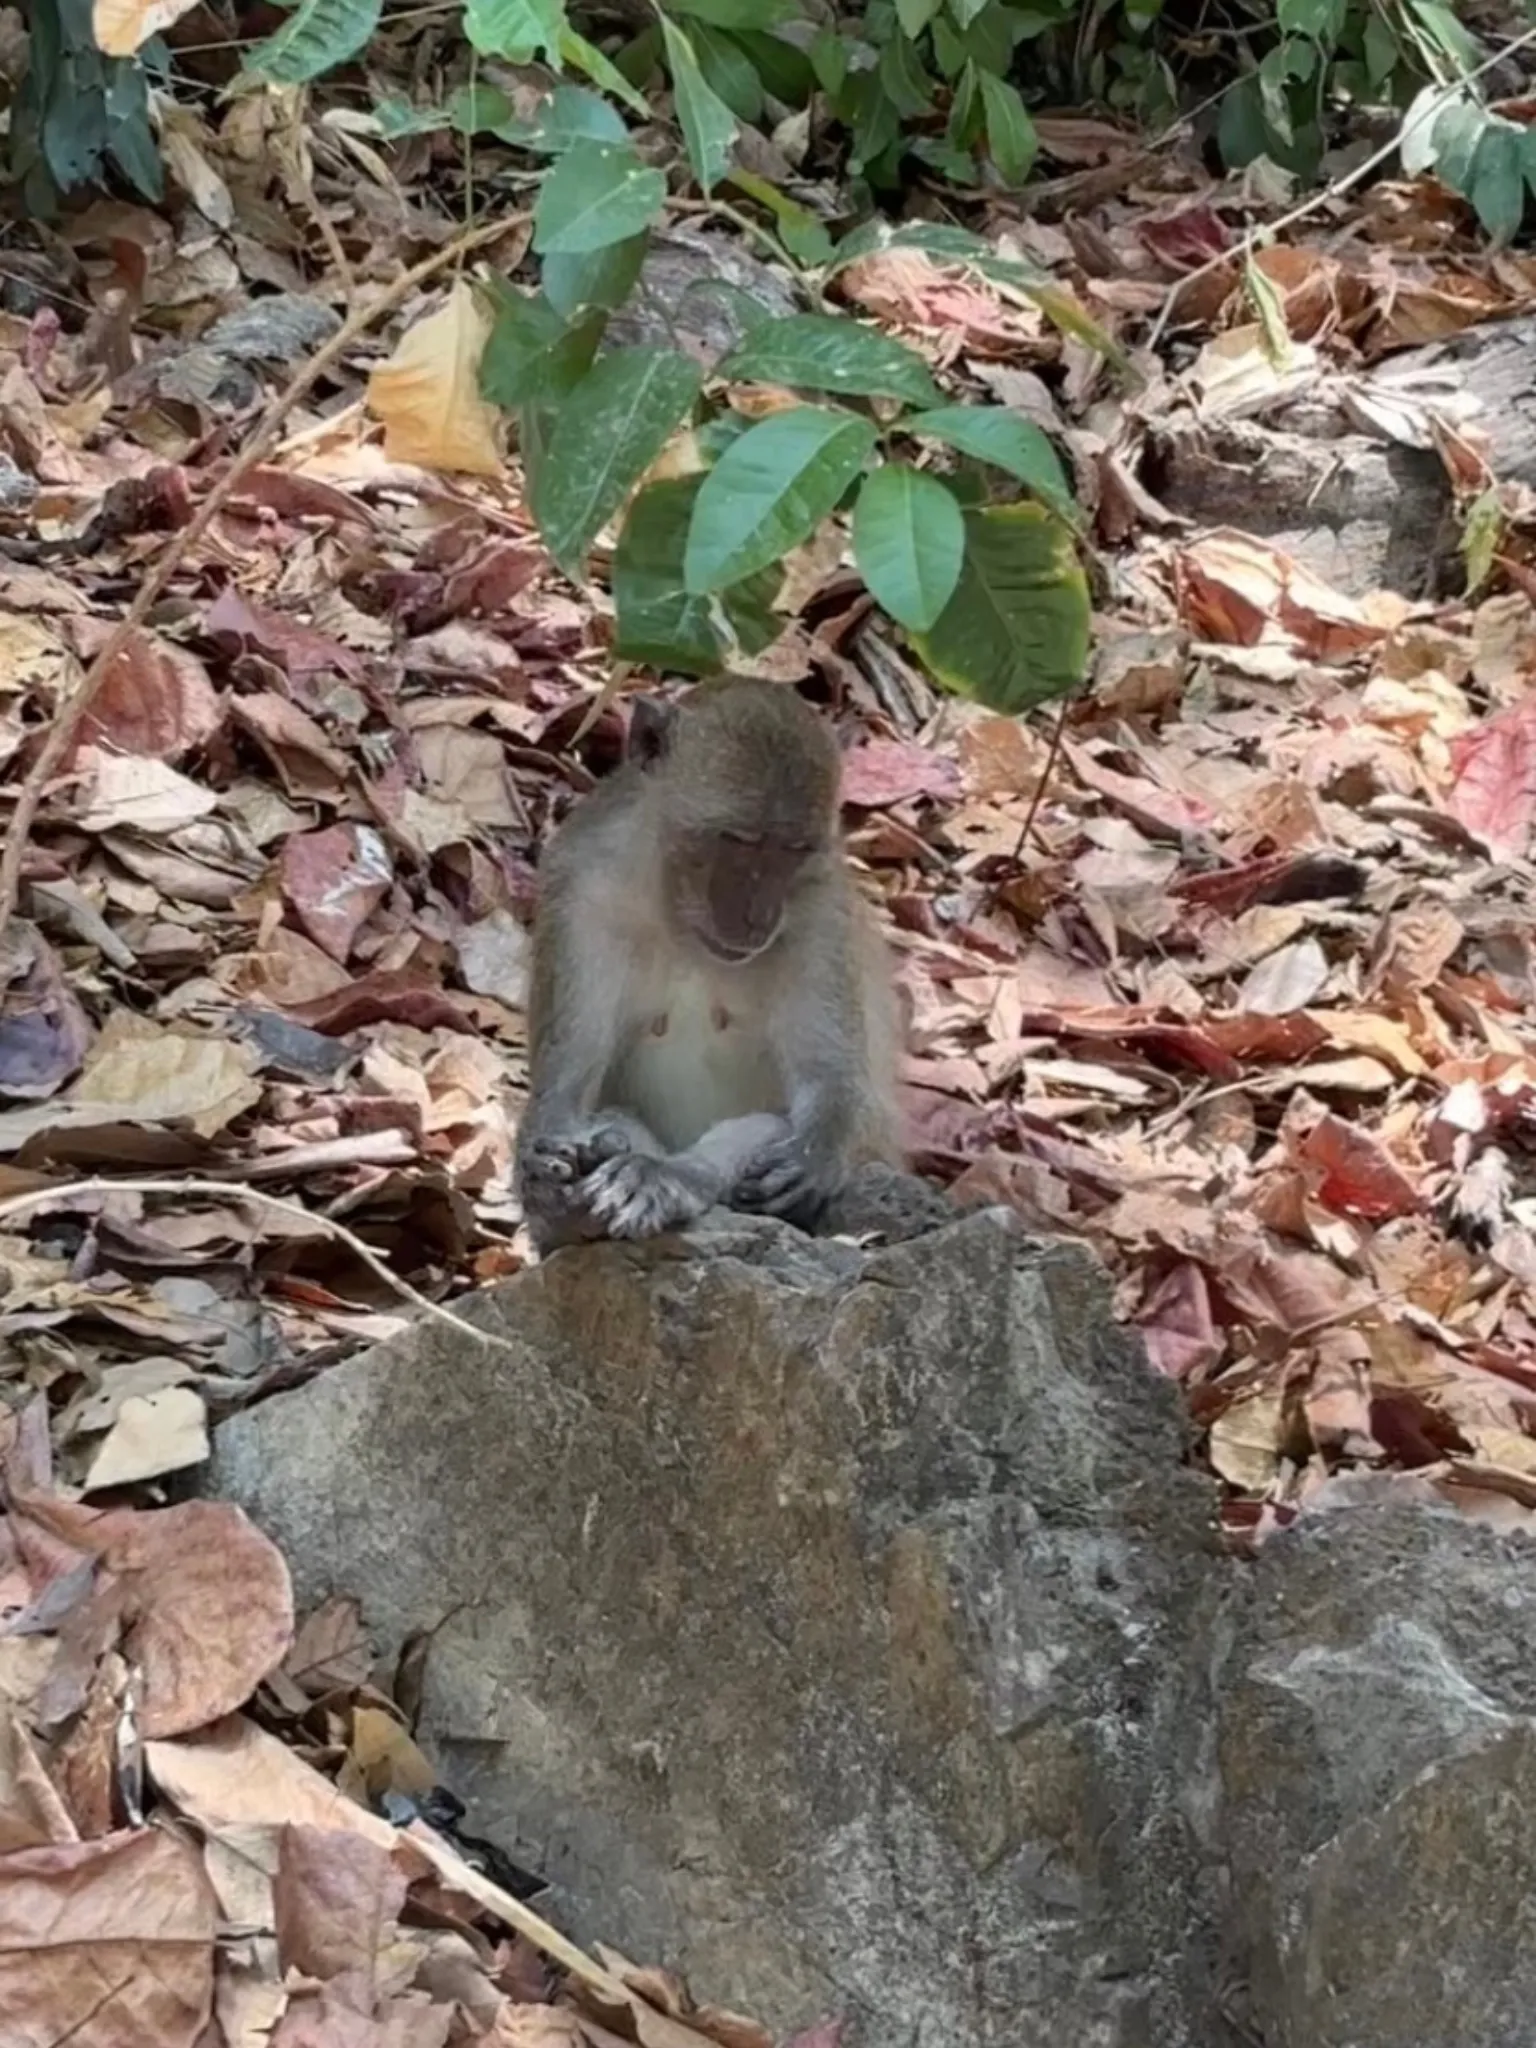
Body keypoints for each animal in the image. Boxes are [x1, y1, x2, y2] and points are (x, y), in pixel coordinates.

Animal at [514, 677, 903, 1252]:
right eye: (737, 840)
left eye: (793, 850)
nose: (758, 918)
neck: (681, 921)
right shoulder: (579, 891)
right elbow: (568, 1078)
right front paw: (546, 1171)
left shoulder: (820, 918)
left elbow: (831, 1080)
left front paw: (812, 1154)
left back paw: (666, 1178)